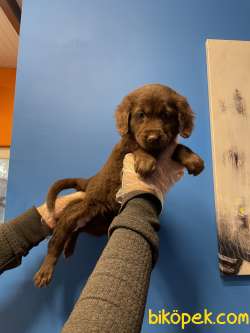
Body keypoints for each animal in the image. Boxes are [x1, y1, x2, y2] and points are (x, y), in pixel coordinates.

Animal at [33, 82, 205, 286]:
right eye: (141, 114)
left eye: (166, 115)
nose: (153, 138)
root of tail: (89, 181)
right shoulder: (125, 148)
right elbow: (136, 147)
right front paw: (145, 160)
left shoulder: (167, 145)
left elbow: (178, 146)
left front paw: (193, 159)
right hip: (85, 208)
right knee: (59, 236)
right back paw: (46, 269)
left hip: (98, 224)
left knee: (78, 229)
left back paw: (69, 247)